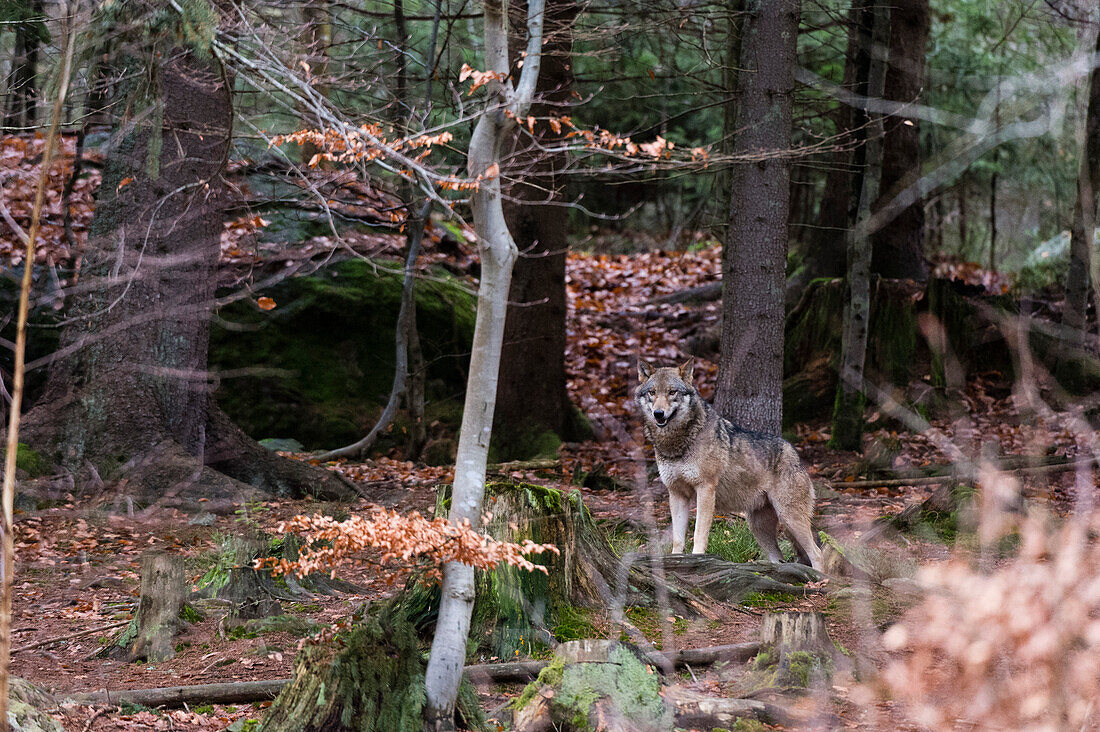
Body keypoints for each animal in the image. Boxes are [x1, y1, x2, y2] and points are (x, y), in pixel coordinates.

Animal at [633, 354, 822, 572]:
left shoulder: (705, 489)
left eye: (672, 392)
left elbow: (698, 534)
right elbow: (678, 540)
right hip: (759, 529)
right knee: (780, 559)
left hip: (789, 518)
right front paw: (677, 561)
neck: (676, 445)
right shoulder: (676, 493)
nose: (658, 413)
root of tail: (795, 454)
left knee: (817, 554)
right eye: (652, 393)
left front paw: (697, 561)